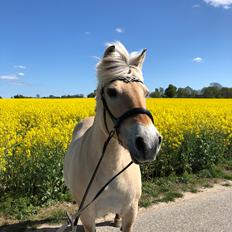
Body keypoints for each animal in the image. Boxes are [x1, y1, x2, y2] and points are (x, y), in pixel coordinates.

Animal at [63, 42, 161, 232]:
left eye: (145, 93)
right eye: (112, 92)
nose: (149, 143)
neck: (111, 169)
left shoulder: (131, 211)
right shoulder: (88, 217)